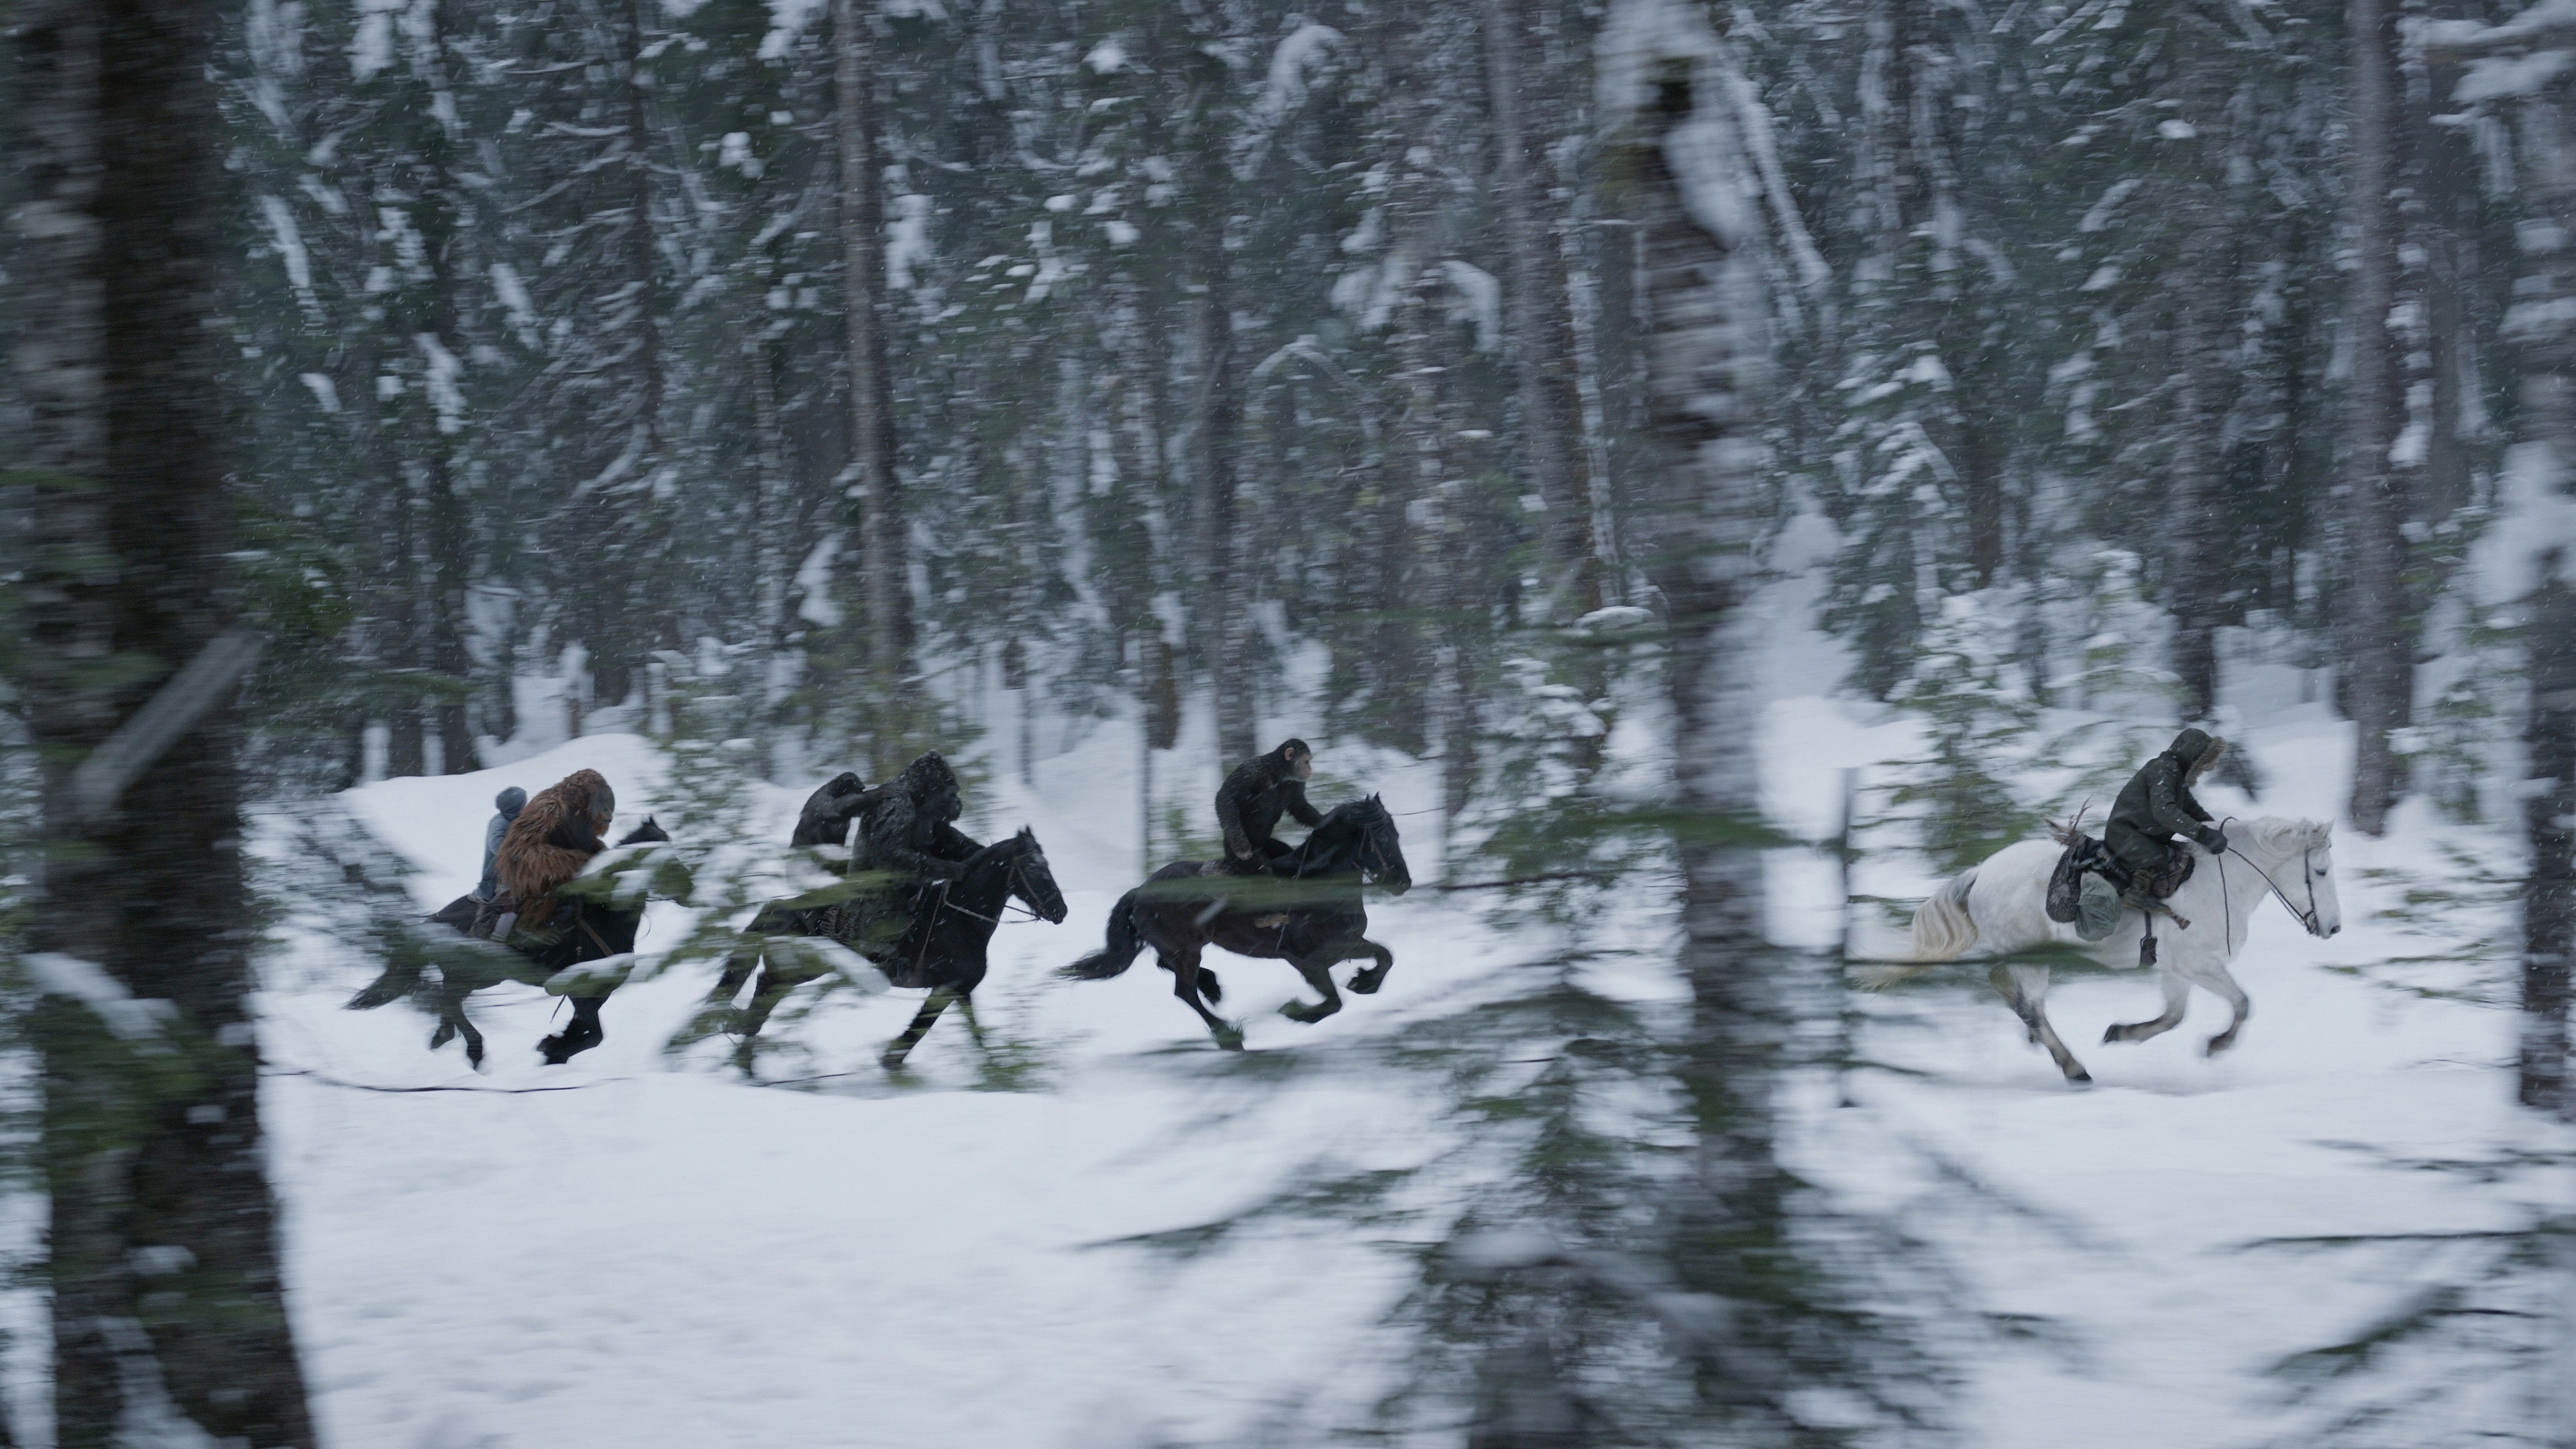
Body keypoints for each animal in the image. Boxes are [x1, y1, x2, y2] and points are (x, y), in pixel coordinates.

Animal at [353, 817, 672, 1069]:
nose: (679, 884)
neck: (605, 916)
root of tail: (435, 920)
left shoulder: (596, 993)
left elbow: (586, 1032)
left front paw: (554, 1048)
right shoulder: (580, 992)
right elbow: (595, 1035)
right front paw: (552, 1048)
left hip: (476, 978)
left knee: (449, 1002)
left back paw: (444, 1037)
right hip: (475, 976)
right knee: (450, 1001)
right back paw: (475, 1050)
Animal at [694, 826, 1068, 1075]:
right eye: (1034, 867)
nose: (1060, 911)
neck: (960, 919)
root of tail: (779, 907)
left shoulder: (960, 991)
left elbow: (974, 1035)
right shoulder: (945, 989)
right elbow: (919, 1031)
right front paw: (891, 1061)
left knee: (764, 991)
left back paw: (745, 1056)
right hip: (801, 970)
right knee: (765, 988)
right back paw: (745, 1054)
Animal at [1057, 795, 1411, 1050]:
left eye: (1396, 833)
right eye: (1380, 836)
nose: (1402, 883)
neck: (1320, 886)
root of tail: (1141, 890)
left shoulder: (1346, 945)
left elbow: (1386, 956)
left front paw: (1364, 981)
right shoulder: (1308, 961)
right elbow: (1335, 1002)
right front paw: (1295, 1011)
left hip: (1185, 947)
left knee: (1167, 967)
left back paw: (1213, 987)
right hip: (1187, 949)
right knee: (1183, 991)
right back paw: (1228, 1034)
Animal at [1878, 814, 2343, 1084]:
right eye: (2320, 871)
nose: (2334, 927)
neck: (2219, 882)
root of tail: (1980, 873)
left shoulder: (2176, 970)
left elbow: (2174, 1017)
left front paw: (2120, 1033)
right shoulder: (2200, 965)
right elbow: (2243, 1003)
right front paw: (2217, 1046)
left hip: (2025, 957)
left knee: (2012, 993)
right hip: (2030, 958)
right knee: (2030, 1007)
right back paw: (2074, 1068)